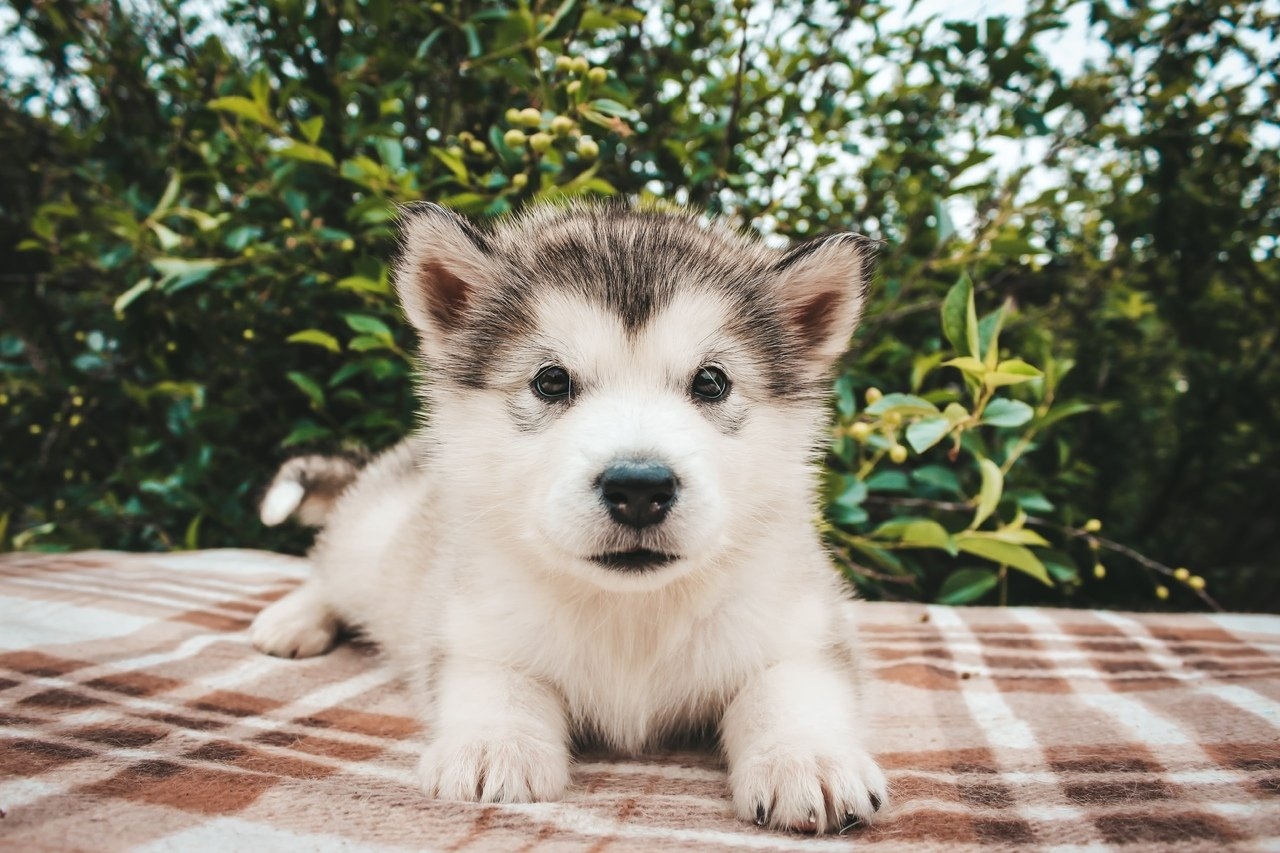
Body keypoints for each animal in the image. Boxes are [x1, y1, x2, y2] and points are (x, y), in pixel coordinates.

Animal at [250, 201, 890, 829]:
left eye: (712, 382)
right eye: (551, 380)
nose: (639, 487)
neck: (633, 611)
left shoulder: (801, 625)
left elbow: (791, 685)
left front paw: (807, 757)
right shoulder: (473, 622)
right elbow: (499, 680)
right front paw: (495, 744)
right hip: (378, 540)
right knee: (329, 569)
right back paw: (292, 619)